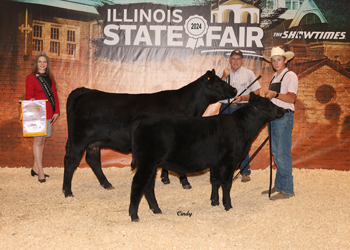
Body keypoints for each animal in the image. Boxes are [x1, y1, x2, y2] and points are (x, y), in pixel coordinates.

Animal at [63, 70, 238, 197]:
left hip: (93, 143)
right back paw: (68, 191)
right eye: (218, 82)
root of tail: (85, 91)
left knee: (93, 161)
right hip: (79, 139)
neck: (188, 106)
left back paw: (107, 184)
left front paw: (165, 178)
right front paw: (185, 182)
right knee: (71, 161)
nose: (235, 89)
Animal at [129, 93, 284, 222]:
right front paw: (228, 206)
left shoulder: (215, 163)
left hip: (152, 164)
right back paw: (134, 215)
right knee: (138, 184)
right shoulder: (229, 162)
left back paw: (156, 209)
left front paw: (214, 202)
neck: (242, 128)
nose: (283, 110)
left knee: (148, 186)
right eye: (270, 105)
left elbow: (215, 181)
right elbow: (226, 184)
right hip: (147, 163)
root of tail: (145, 117)